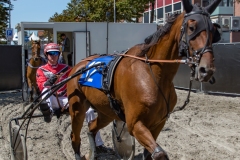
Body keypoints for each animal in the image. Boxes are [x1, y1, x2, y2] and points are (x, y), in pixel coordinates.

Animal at [66, 0, 222, 159]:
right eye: (191, 27)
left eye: (214, 32)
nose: (206, 69)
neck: (153, 74)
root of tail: (79, 64)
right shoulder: (135, 124)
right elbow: (159, 154)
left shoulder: (159, 123)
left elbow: (149, 153)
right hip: (77, 108)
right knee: (75, 137)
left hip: (106, 111)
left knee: (91, 127)